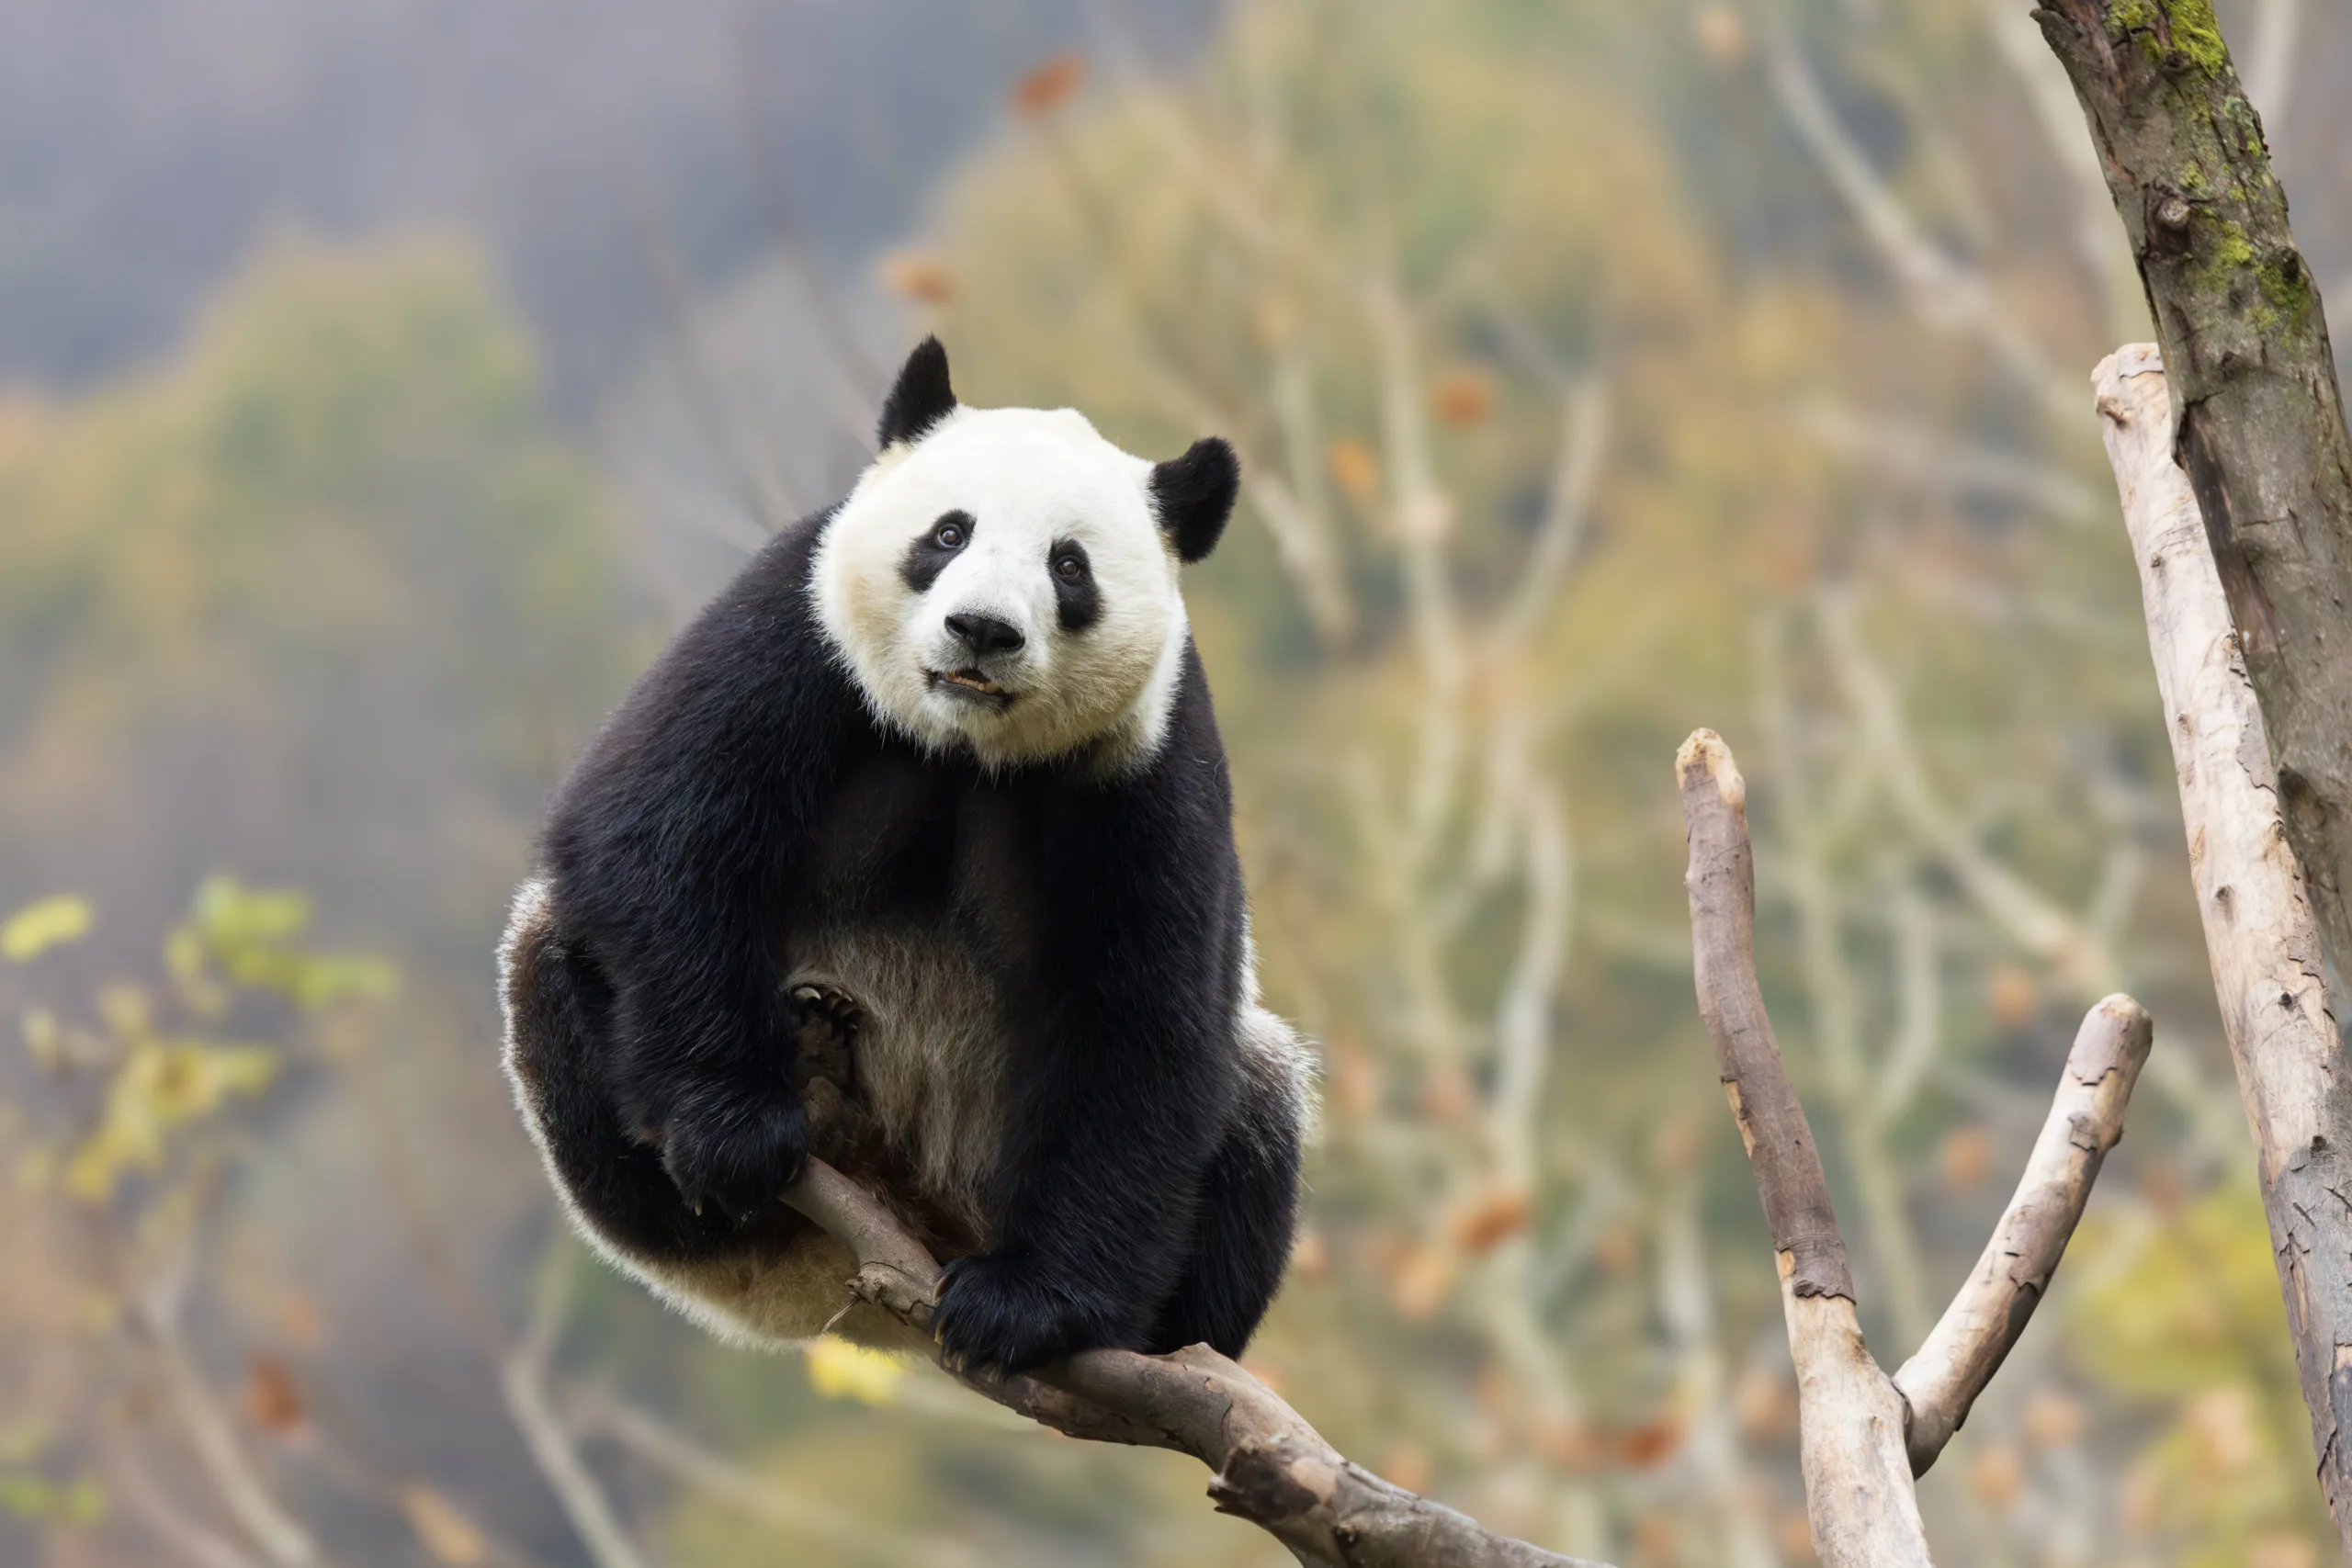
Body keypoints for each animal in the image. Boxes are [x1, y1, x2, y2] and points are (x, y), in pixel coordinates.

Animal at [498, 338, 1313, 1374]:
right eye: (948, 534)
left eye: (1069, 566)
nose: (983, 630)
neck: (963, 741)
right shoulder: (794, 625)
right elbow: (653, 831)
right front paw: (733, 1131)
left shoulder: (1147, 755)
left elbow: (1145, 1019)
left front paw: (1026, 1308)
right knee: (554, 953)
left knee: (1258, 1094)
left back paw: (1163, 1338)